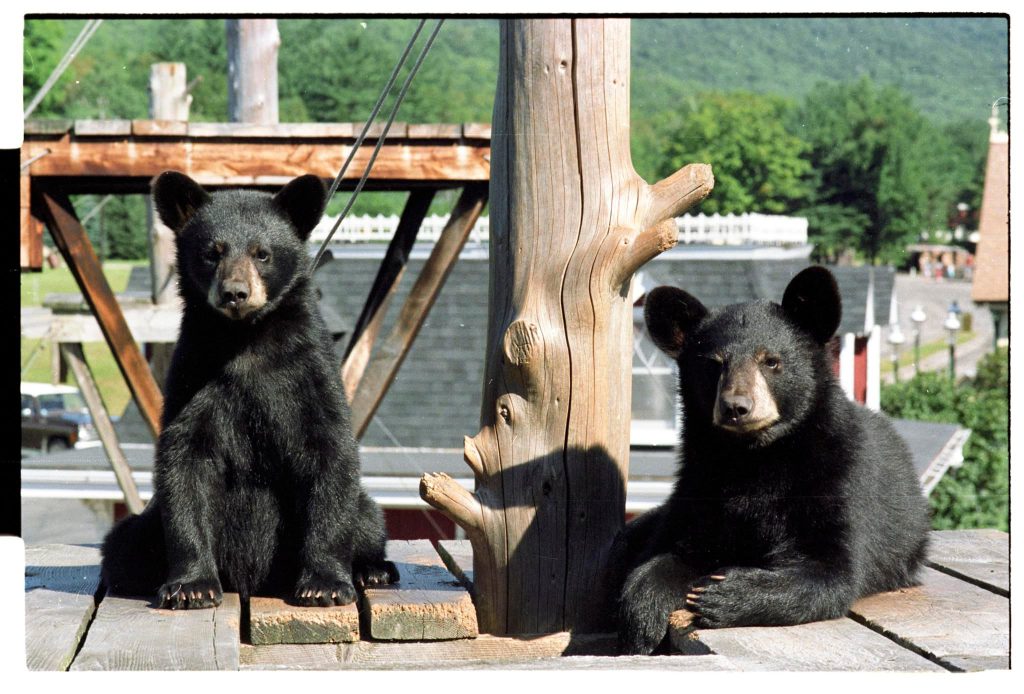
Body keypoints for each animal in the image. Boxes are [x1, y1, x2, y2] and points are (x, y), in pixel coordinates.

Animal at [100, 171, 398, 609]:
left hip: (361, 510)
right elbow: (184, 461)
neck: (246, 339)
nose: (235, 293)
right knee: (124, 544)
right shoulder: (193, 376)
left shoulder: (310, 374)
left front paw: (324, 583)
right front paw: (192, 585)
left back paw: (374, 569)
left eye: (263, 254)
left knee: (368, 517)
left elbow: (329, 450)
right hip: (145, 527)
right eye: (212, 252)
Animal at [607, 266, 930, 654]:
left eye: (771, 361)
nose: (736, 407)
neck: (755, 458)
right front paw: (640, 620)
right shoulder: (701, 486)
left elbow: (831, 569)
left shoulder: (838, 478)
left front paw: (724, 595)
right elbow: (674, 551)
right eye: (714, 365)